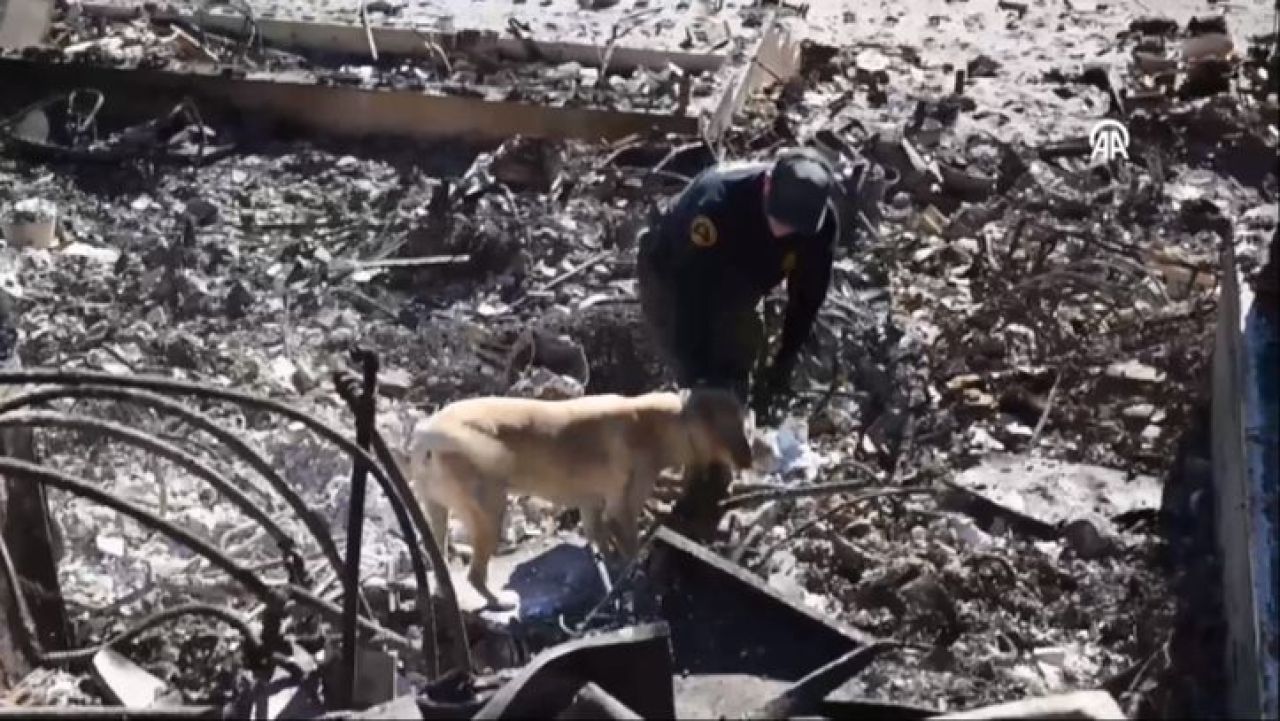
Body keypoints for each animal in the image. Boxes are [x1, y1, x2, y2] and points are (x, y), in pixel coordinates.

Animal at [404, 389, 752, 609]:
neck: (670, 422)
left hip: (437, 514)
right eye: (730, 427)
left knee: (439, 556)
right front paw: (635, 577)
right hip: (490, 511)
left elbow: (601, 540)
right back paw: (497, 601)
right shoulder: (622, 509)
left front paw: (611, 571)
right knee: (475, 575)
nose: (749, 461)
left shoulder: (591, 505)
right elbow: (629, 547)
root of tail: (426, 434)